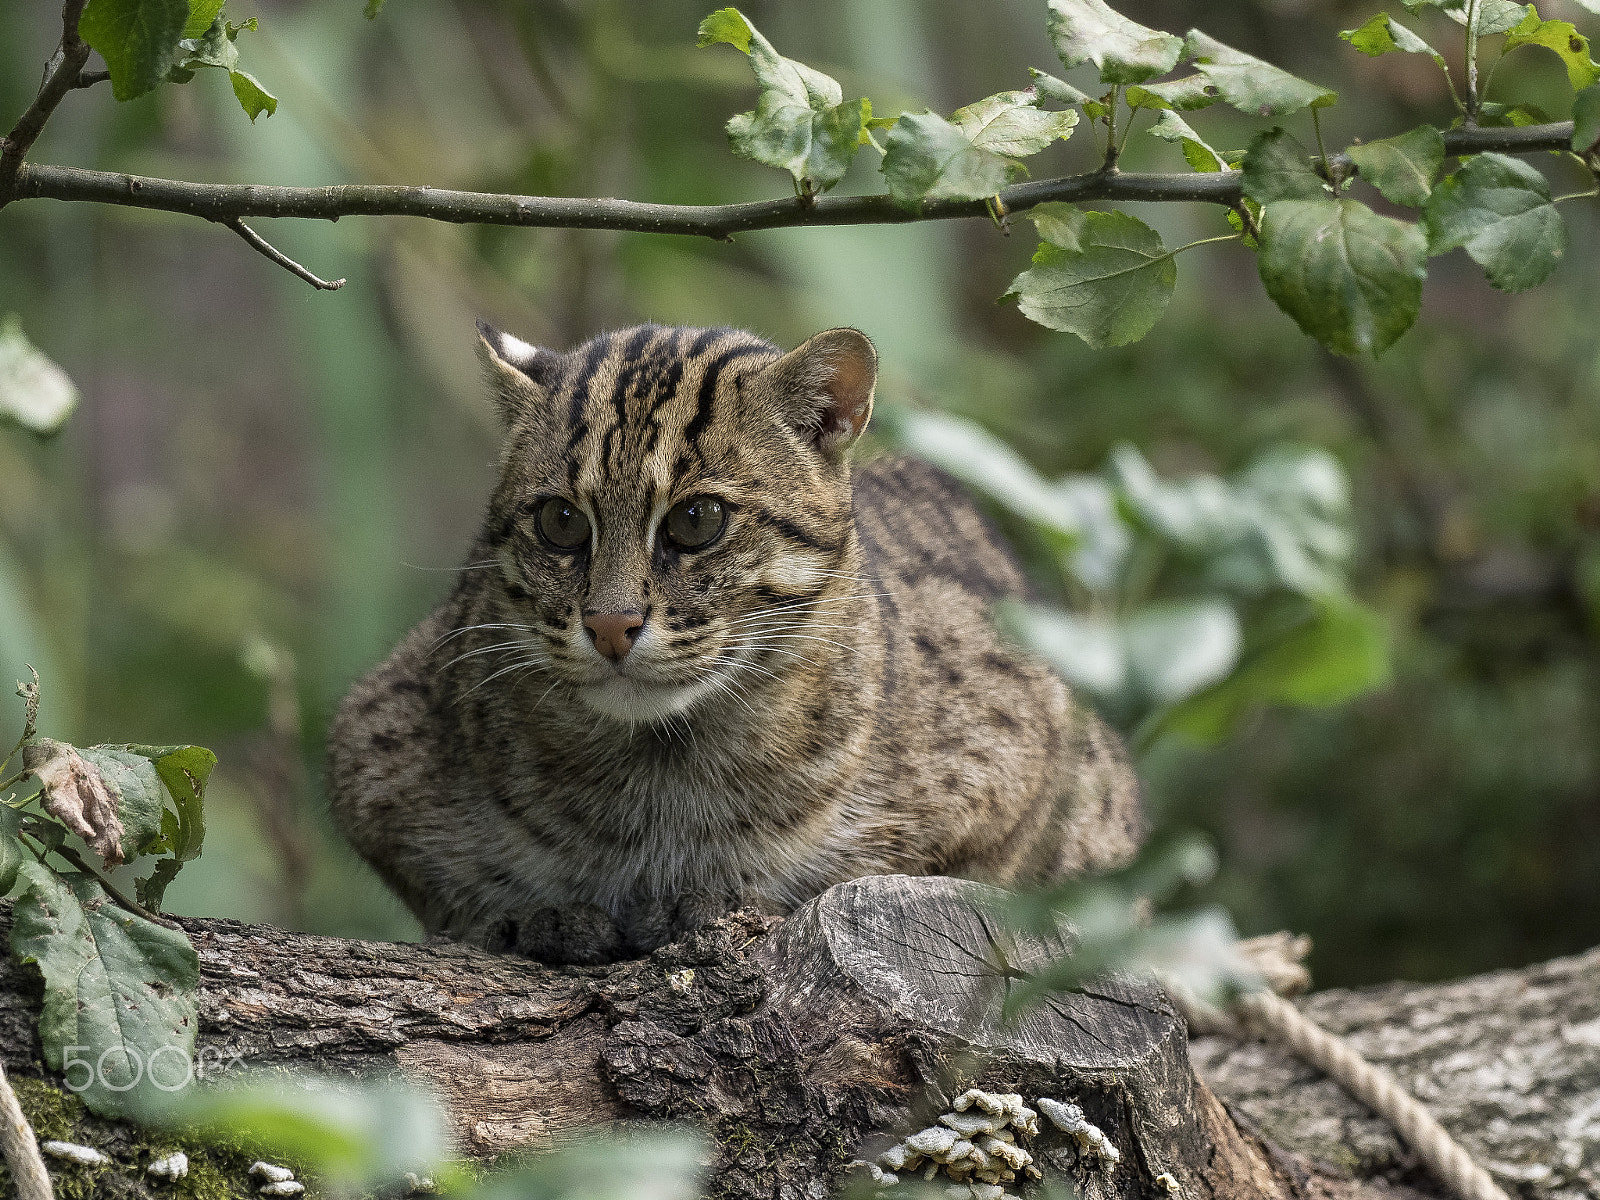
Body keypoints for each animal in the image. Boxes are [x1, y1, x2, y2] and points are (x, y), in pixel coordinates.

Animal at [324, 320, 1145, 966]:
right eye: (559, 521)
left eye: (697, 520)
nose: (610, 625)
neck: (661, 771)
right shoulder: (367, 751)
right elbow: (454, 897)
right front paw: (531, 919)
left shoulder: (1038, 768)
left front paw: (723, 902)